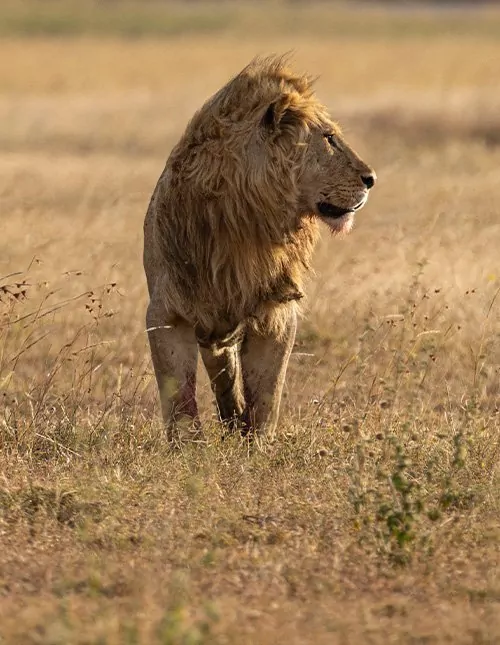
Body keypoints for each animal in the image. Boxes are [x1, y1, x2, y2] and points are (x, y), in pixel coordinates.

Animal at [143, 54, 374, 442]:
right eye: (329, 139)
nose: (371, 179)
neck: (250, 219)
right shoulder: (167, 311)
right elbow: (178, 395)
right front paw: (188, 446)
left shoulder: (276, 311)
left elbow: (267, 392)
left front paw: (256, 444)